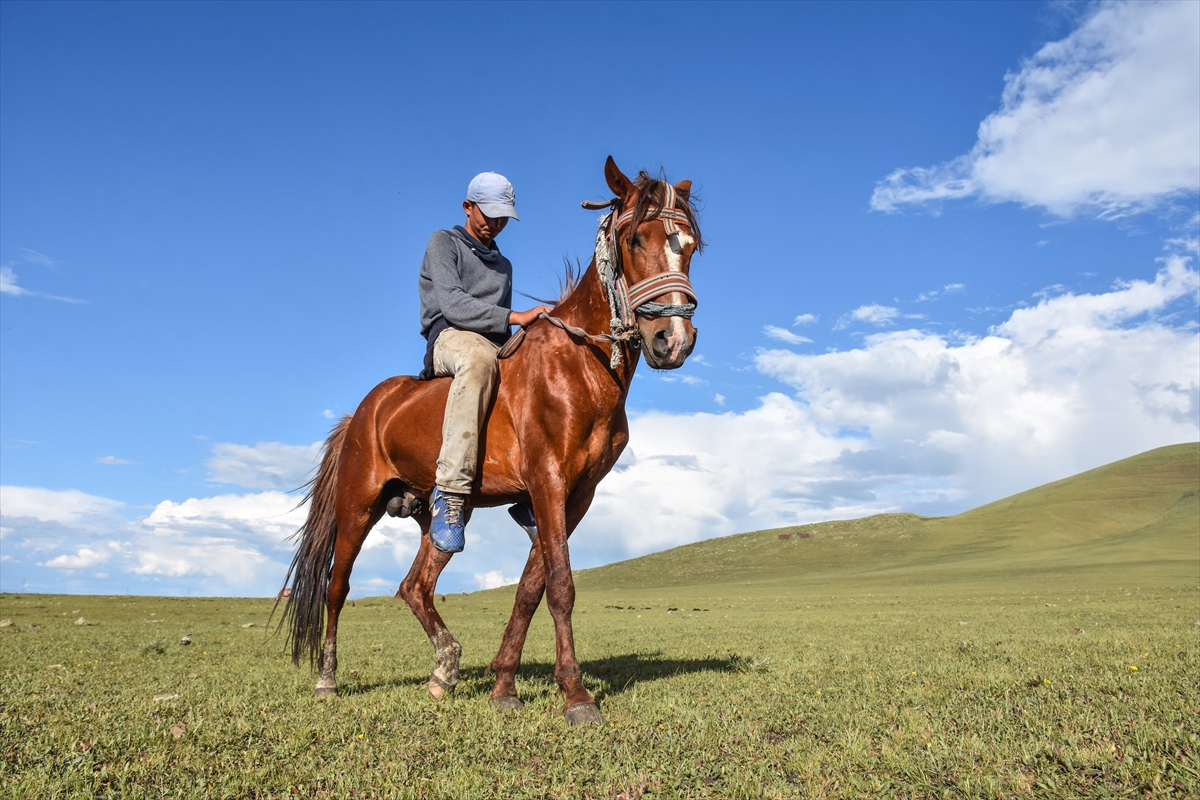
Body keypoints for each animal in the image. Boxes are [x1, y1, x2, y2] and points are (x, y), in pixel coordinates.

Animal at [279, 155, 700, 724]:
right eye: (635, 239)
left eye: (690, 246)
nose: (672, 341)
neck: (580, 366)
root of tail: (366, 409)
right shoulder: (547, 482)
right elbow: (560, 586)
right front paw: (576, 695)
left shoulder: (577, 496)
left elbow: (530, 588)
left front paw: (504, 686)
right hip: (356, 506)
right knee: (337, 586)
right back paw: (327, 680)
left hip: (440, 513)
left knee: (416, 584)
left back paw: (446, 670)